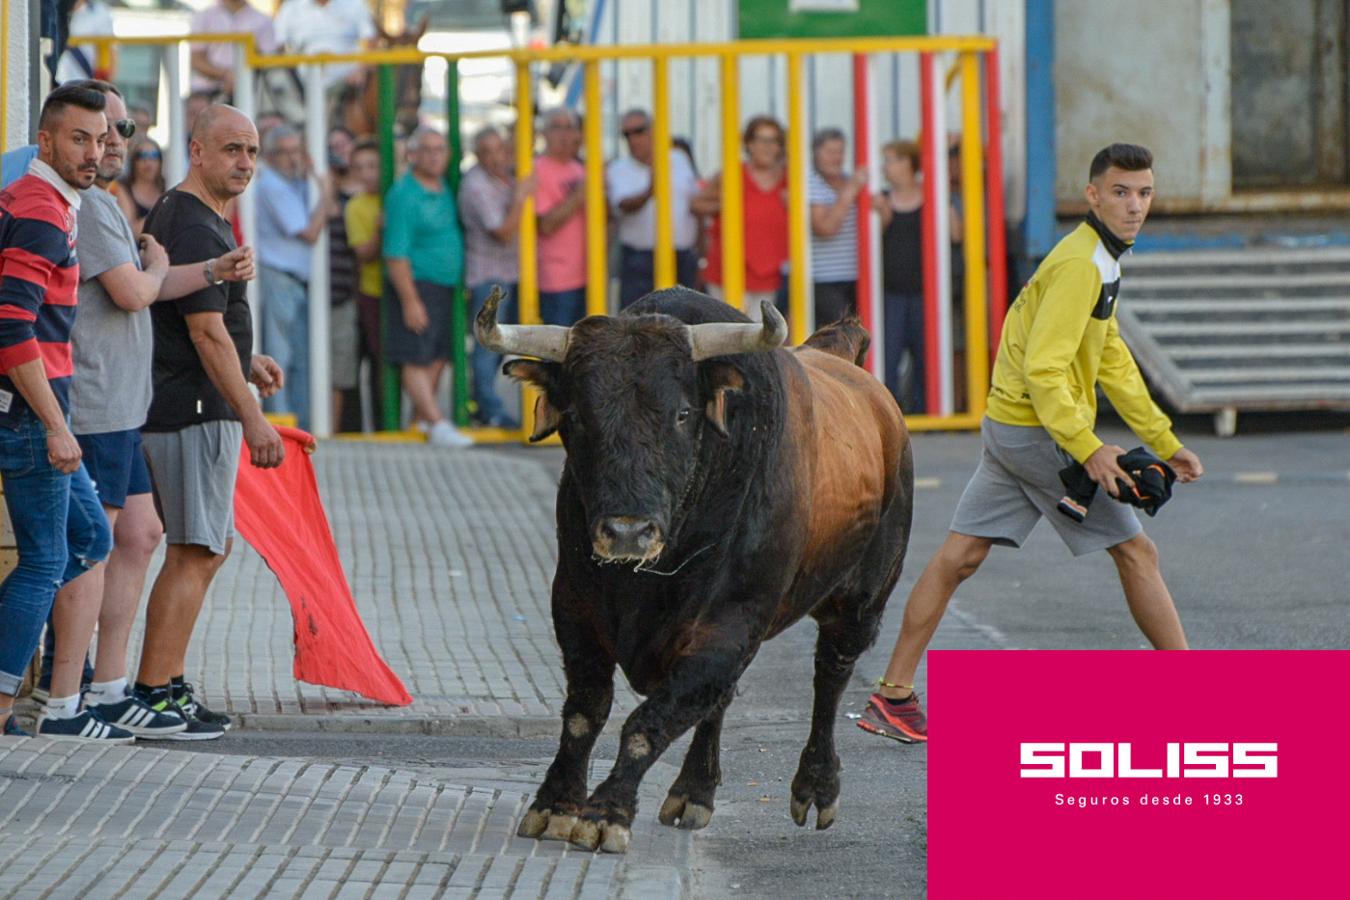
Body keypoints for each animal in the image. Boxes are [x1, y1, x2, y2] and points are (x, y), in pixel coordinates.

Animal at [475, 284, 918, 858]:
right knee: (723, 699)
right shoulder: (573, 606)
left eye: (683, 414)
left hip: (861, 601)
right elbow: (585, 711)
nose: (627, 531)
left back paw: (817, 786)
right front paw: (555, 803)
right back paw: (694, 791)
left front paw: (606, 812)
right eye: (577, 415)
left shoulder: (729, 626)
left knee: (830, 677)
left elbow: (649, 721)